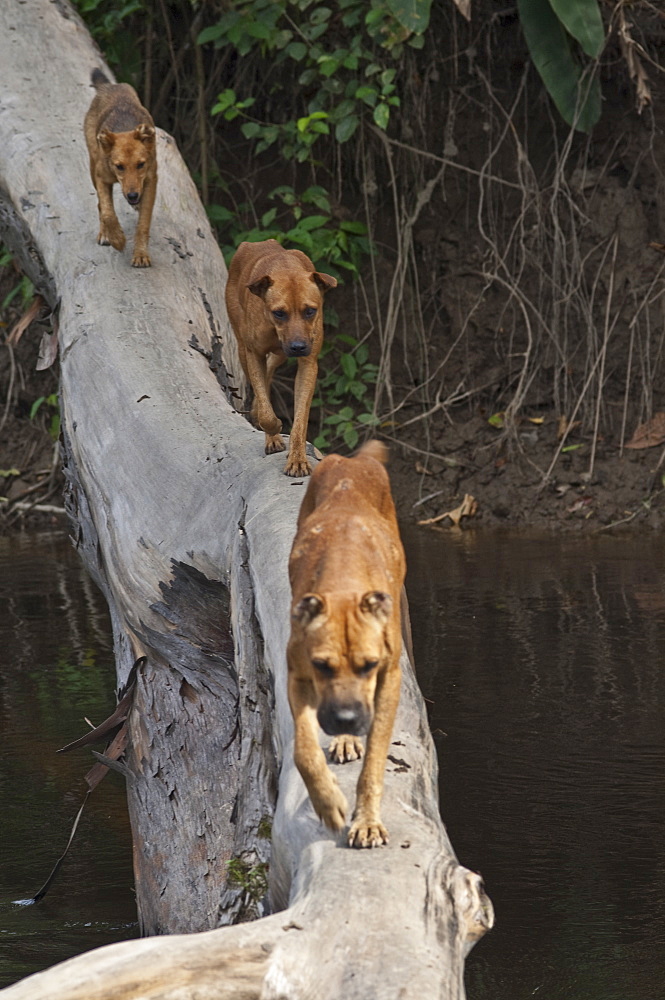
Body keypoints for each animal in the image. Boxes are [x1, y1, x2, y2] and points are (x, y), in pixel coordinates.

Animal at [83, 68, 158, 268]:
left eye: (141, 164)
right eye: (119, 166)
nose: (132, 196)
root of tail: (110, 86)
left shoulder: (151, 181)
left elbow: (143, 224)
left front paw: (140, 255)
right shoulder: (102, 178)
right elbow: (108, 212)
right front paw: (117, 239)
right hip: (92, 166)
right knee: (100, 205)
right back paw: (105, 234)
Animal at [224, 240, 338, 478]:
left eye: (310, 311)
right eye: (279, 313)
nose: (298, 347)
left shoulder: (308, 364)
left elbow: (301, 419)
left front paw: (297, 460)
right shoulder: (254, 353)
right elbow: (267, 413)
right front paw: (274, 428)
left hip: (281, 355)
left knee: (270, 371)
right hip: (242, 347)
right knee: (261, 385)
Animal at [286, 442, 404, 848]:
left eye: (369, 665)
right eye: (322, 665)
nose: (345, 719)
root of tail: (353, 461)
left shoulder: (388, 679)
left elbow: (375, 761)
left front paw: (367, 821)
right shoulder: (299, 676)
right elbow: (304, 752)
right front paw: (328, 803)